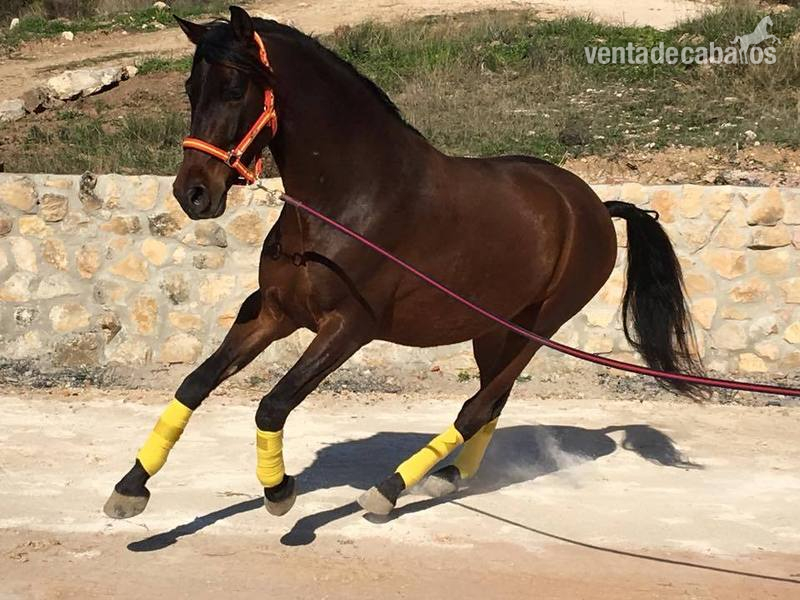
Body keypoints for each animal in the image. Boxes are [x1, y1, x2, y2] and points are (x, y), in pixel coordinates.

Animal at [104, 6, 703, 520]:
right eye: (190, 90)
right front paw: (130, 488)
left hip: (537, 328)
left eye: (234, 89)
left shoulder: (349, 326)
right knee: (492, 404)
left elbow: (272, 406)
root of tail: (597, 207)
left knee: (476, 408)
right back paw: (447, 477)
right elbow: (194, 384)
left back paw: (389, 490)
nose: (193, 194)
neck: (349, 200)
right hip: (494, 329)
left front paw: (279, 490)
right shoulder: (272, 311)